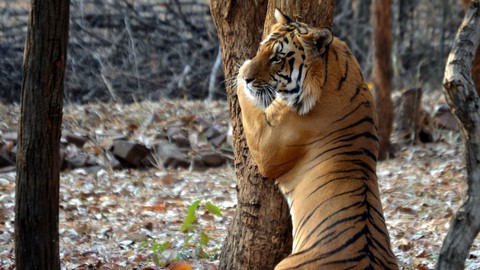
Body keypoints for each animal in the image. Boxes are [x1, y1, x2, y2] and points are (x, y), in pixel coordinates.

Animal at [236, 8, 398, 270]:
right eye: (261, 48)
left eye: (277, 58)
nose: (248, 78)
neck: (333, 70)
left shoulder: (266, 143)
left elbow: (248, 103)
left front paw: (240, 71)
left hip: (283, 265)